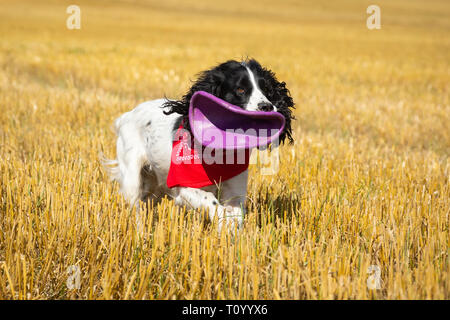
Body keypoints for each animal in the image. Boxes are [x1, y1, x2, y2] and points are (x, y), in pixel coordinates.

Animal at [105, 59, 296, 230]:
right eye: (240, 89)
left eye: (267, 90)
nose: (267, 106)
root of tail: (126, 115)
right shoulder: (185, 188)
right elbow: (211, 201)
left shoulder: (235, 191)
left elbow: (235, 215)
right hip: (133, 180)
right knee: (136, 209)